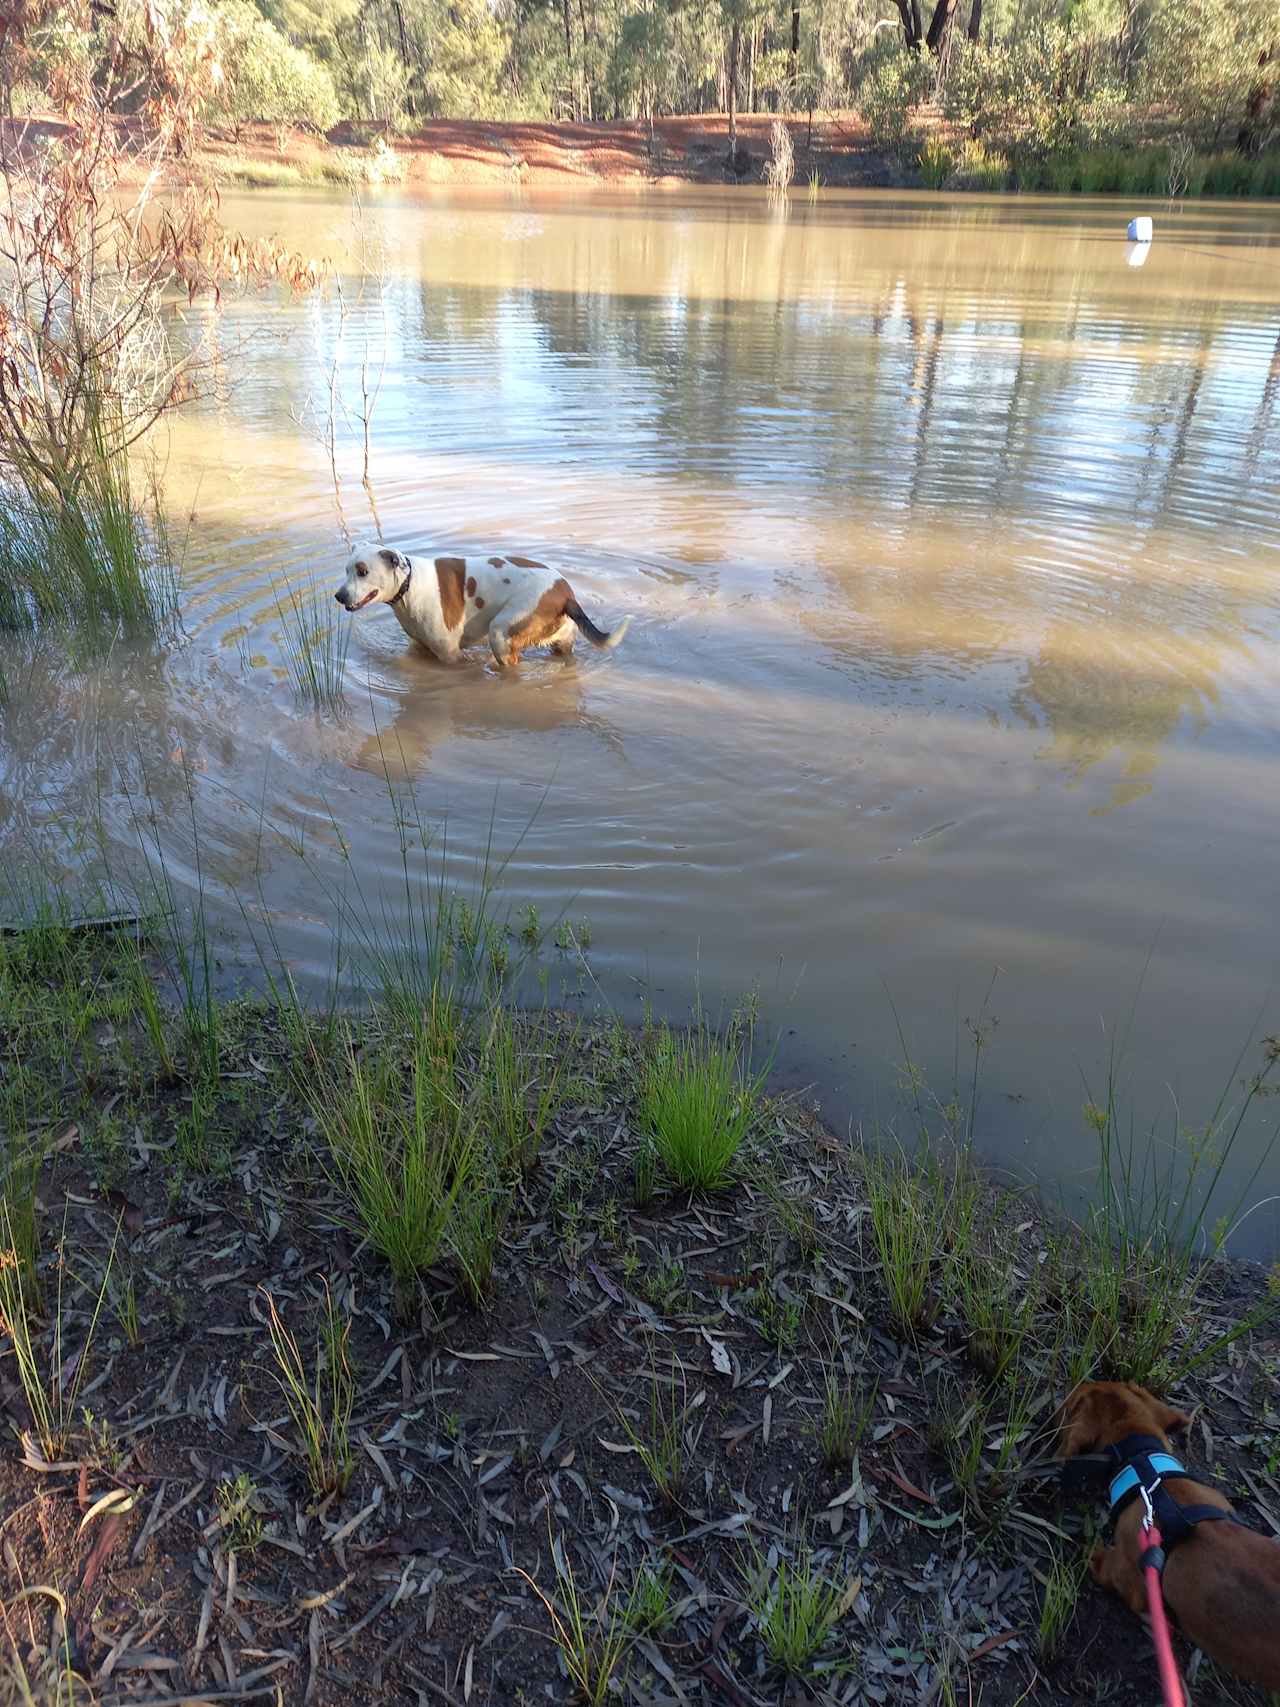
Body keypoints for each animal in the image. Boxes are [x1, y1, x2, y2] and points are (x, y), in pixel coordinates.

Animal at [332, 539, 628, 665]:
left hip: (501, 632)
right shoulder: (418, 647)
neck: (408, 584)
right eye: (346, 570)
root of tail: (566, 593)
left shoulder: (449, 656)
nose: (339, 596)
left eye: (362, 571)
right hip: (561, 642)